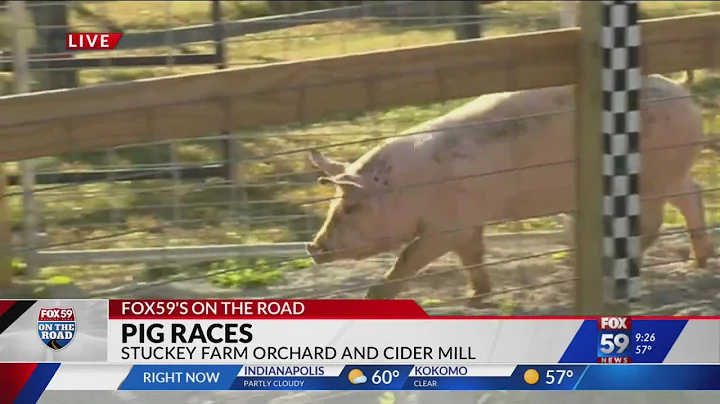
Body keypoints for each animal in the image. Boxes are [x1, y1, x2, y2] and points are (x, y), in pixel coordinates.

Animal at [304, 75, 716, 306]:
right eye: (336, 204)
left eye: (352, 207)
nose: (313, 246)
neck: (411, 188)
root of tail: (682, 91)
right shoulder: (468, 223)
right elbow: (472, 256)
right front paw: (476, 297)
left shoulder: (446, 226)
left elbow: (409, 258)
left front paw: (371, 296)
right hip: (671, 174)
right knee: (691, 195)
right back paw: (696, 262)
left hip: (650, 180)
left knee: (654, 222)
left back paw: (611, 265)